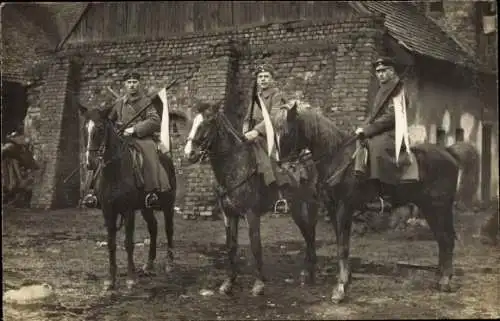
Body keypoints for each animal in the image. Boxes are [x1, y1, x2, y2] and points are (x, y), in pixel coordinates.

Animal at [77, 104, 181, 292]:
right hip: (146, 207)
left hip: (168, 205)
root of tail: (166, 157)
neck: (114, 172)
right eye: (84, 128)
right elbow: (111, 243)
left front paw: (131, 278)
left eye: (100, 128)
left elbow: (128, 243)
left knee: (169, 229)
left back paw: (169, 263)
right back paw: (148, 265)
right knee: (153, 228)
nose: (90, 163)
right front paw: (110, 280)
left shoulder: (128, 211)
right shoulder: (108, 211)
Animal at [184, 102, 320, 296]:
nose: (189, 153)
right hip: (295, 208)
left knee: (310, 234)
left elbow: (256, 246)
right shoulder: (228, 215)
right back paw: (306, 272)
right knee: (307, 233)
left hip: (308, 204)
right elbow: (231, 246)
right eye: (194, 122)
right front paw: (229, 282)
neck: (234, 166)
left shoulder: (251, 214)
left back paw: (311, 272)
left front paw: (259, 283)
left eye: (207, 123)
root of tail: (307, 156)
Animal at [276, 104, 478, 302]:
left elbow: (342, 247)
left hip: (439, 207)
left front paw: (340, 288)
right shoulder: (333, 209)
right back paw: (440, 279)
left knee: (447, 239)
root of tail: (449, 152)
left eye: (286, 132)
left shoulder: (344, 208)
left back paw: (445, 280)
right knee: (442, 239)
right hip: (429, 208)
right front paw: (345, 278)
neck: (337, 157)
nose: (281, 165)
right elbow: (340, 243)